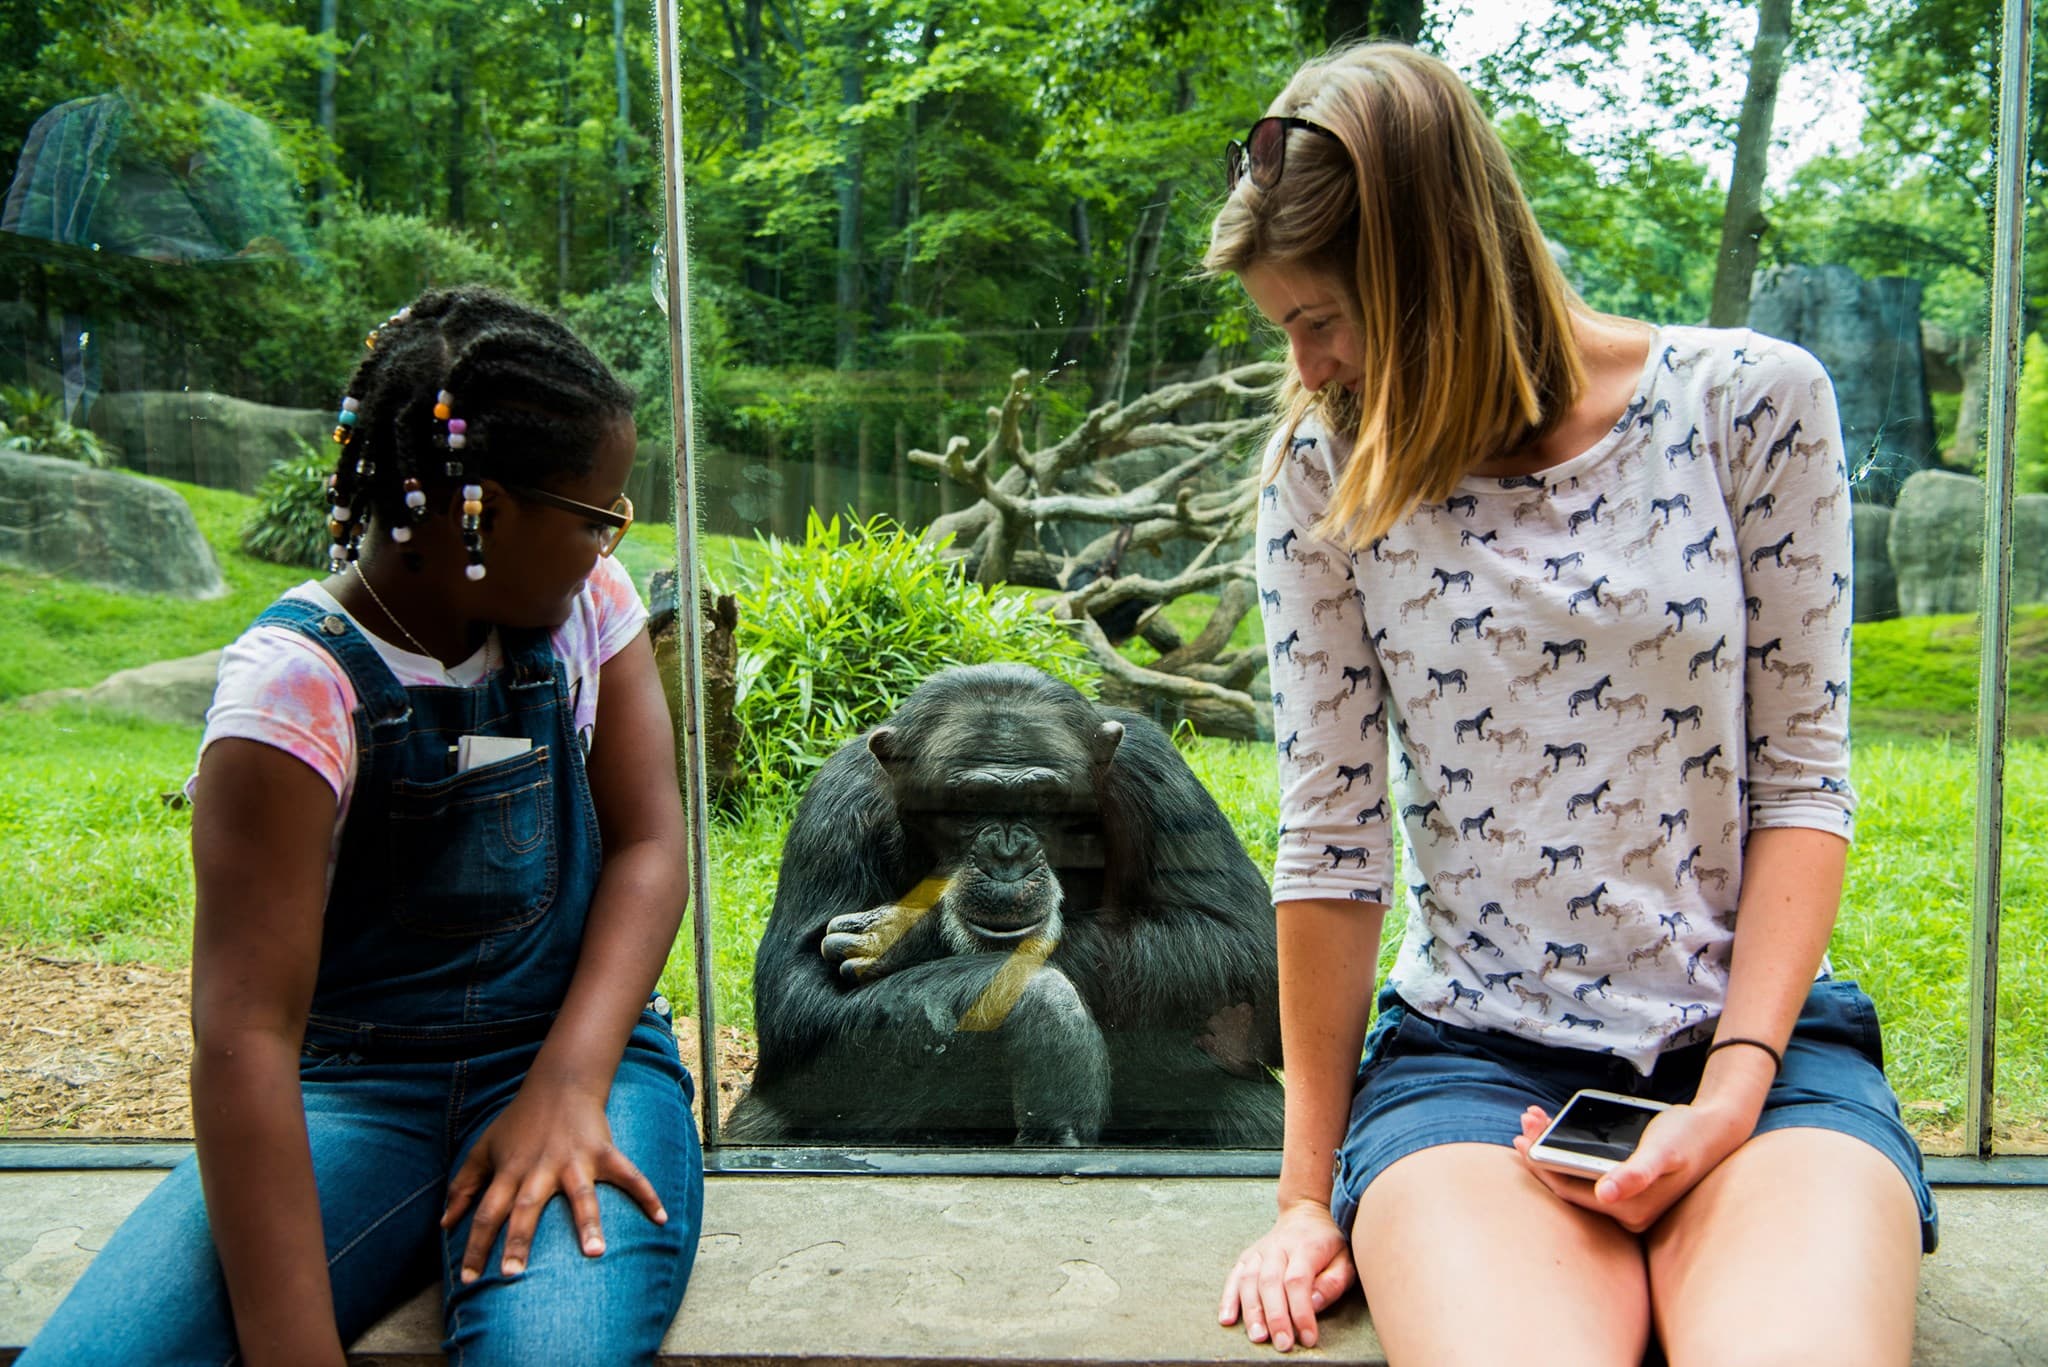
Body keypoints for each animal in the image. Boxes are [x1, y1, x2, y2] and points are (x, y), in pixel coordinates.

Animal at [729, 668, 1277, 1147]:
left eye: (1042, 800)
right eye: (969, 802)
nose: (1008, 853)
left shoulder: (1158, 773)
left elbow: (1245, 949)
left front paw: (906, 934)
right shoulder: (838, 806)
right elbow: (796, 1004)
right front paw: (1044, 1012)